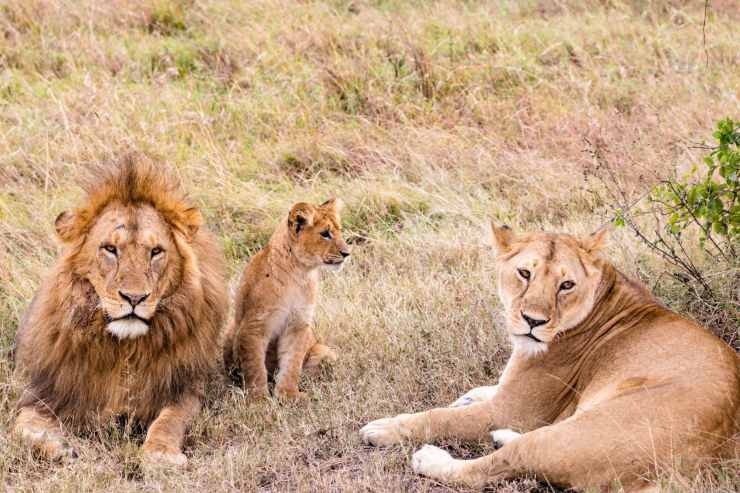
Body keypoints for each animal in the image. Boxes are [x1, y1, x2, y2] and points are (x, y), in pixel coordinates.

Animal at [13, 158, 227, 466]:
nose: (134, 297)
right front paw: (57, 447)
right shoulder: (47, 391)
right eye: (110, 249)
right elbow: (21, 426)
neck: (125, 350)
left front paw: (160, 454)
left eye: (156, 251)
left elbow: (169, 420)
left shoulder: (184, 388)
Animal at [223, 198, 350, 398]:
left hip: (325, 352)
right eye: (325, 234)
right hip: (232, 329)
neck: (299, 272)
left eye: (339, 230)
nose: (347, 253)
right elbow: (255, 366)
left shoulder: (298, 324)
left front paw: (288, 395)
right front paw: (259, 400)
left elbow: (292, 363)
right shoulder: (254, 326)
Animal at [362, 225, 740, 490]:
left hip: (572, 436)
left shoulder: (514, 409)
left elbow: (440, 417)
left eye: (566, 285)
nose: (533, 321)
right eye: (524, 273)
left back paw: (431, 457)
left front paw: (385, 427)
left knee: (490, 467)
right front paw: (469, 395)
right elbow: (489, 388)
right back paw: (500, 435)